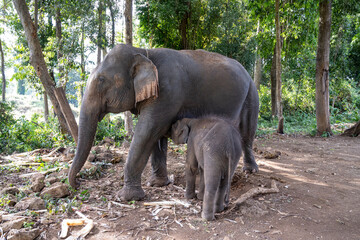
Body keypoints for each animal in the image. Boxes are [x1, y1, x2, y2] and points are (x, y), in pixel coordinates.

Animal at [67, 43, 258, 201]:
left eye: (101, 80)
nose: (77, 185)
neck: (144, 52)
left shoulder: (167, 93)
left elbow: (147, 131)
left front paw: (126, 197)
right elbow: (156, 136)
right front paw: (157, 184)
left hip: (251, 93)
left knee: (247, 134)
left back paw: (250, 171)